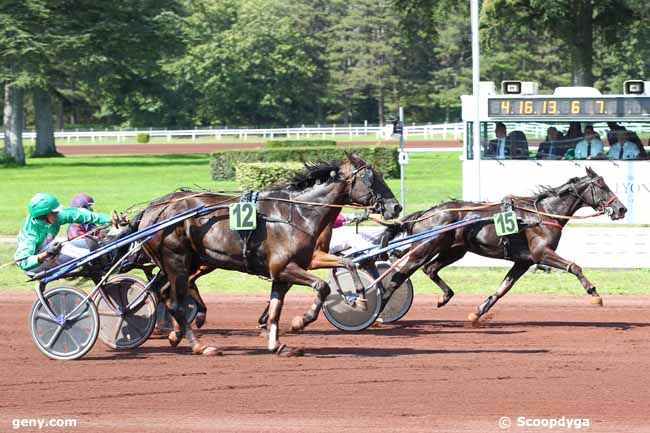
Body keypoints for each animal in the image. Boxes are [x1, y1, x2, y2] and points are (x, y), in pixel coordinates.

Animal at [380, 167, 624, 326]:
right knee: (399, 276)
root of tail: (426, 213)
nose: (621, 209)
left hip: (454, 250)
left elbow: (502, 289)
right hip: (423, 249)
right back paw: (379, 310)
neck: (542, 214)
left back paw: (444, 297)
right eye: (601, 186)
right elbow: (574, 266)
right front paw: (594, 293)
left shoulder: (523, 261)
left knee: (429, 269)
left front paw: (477, 314)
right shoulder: (541, 253)